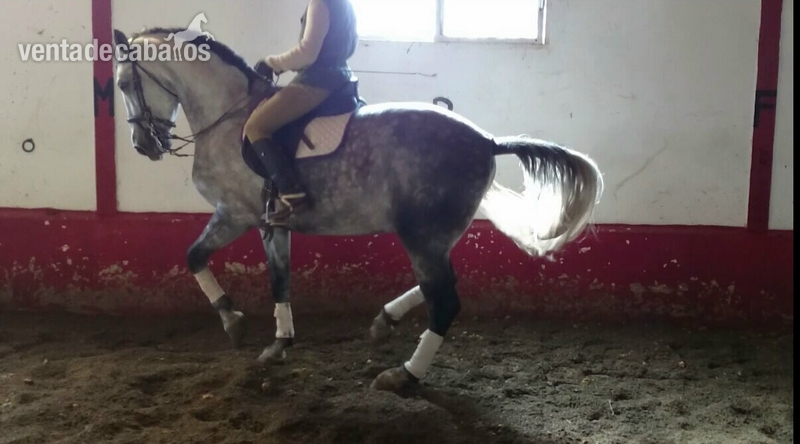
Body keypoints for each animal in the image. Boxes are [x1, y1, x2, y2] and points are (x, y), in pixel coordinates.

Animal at [111, 28, 604, 393]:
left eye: (122, 84)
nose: (143, 145)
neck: (229, 117)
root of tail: (486, 140)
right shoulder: (272, 223)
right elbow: (277, 279)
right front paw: (279, 342)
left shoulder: (235, 212)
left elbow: (194, 256)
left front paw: (233, 321)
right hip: (435, 235)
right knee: (443, 285)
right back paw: (385, 320)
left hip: (421, 236)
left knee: (445, 299)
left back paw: (403, 375)